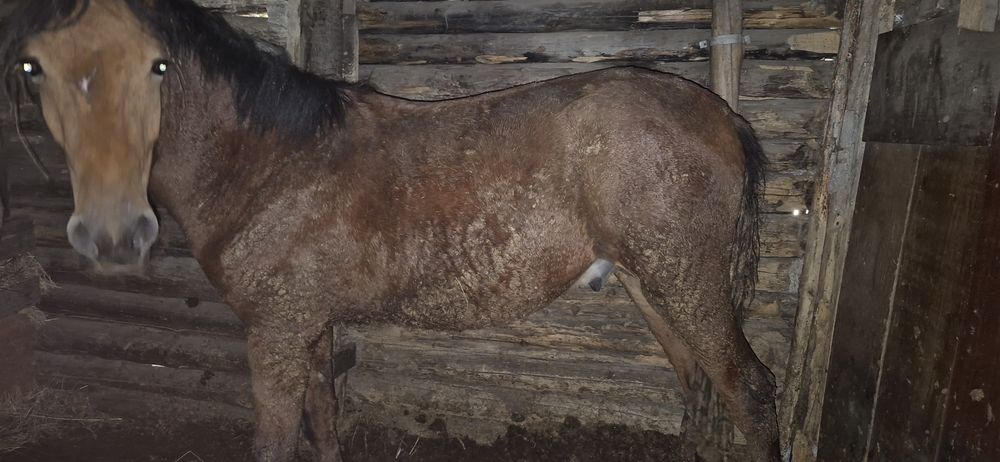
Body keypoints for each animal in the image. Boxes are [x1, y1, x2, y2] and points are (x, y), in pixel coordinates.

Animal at [0, 0, 780, 460]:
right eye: (33, 68)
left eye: (157, 66)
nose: (112, 233)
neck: (268, 164)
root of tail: (719, 116)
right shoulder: (306, 326)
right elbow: (321, 422)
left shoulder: (275, 331)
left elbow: (277, 439)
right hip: (654, 286)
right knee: (698, 383)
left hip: (685, 282)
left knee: (748, 389)